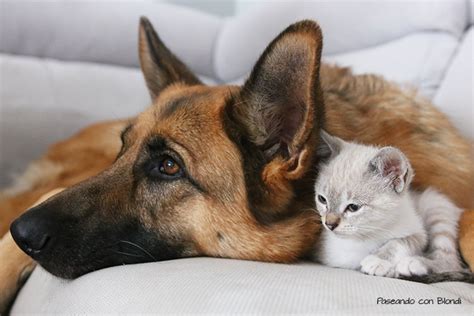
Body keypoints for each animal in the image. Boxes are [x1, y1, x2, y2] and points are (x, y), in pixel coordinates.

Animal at [312, 130, 464, 278]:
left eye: (353, 207)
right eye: (322, 199)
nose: (329, 224)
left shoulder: (419, 233)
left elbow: (399, 241)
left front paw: (377, 260)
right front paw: (390, 270)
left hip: (436, 208)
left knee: (449, 261)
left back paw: (413, 263)